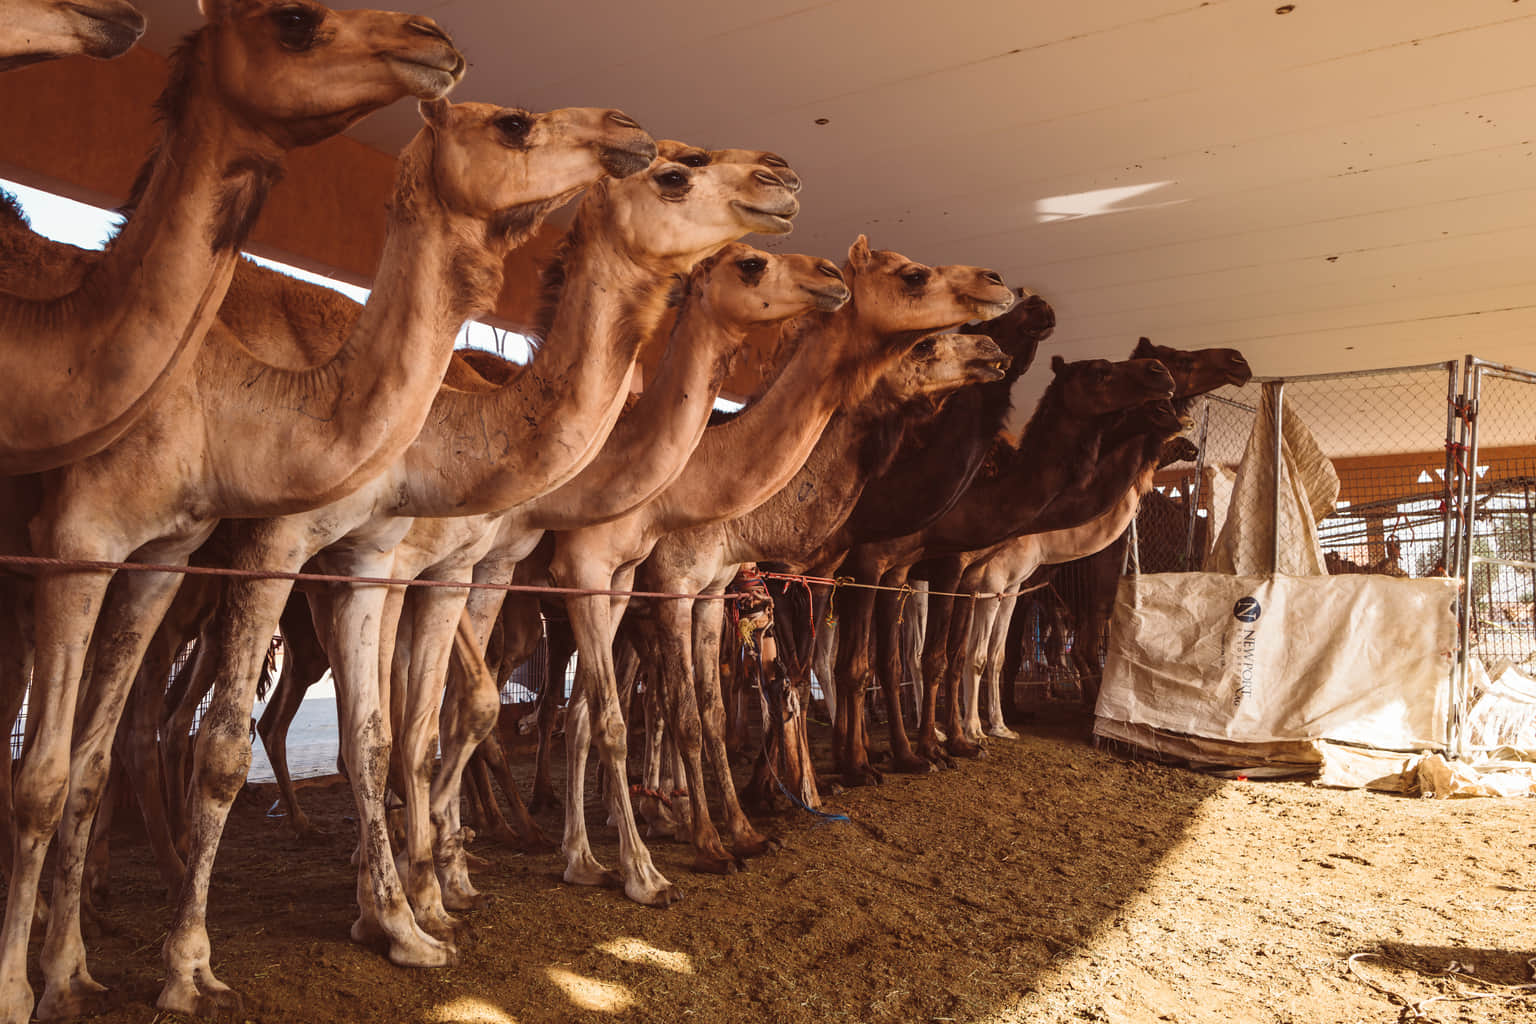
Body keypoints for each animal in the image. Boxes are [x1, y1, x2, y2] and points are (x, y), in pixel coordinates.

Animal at [4, 97, 655, 1023]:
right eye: (515, 123)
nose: (628, 133)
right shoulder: (290, 545)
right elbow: (361, 726)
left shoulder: (376, 561)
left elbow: (391, 727)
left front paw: (407, 904)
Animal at [540, 237, 1013, 888]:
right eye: (914, 278)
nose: (995, 343)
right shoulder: (677, 586)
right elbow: (693, 711)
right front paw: (712, 842)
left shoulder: (718, 591)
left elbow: (716, 707)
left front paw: (742, 827)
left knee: (586, 710)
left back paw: (590, 851)